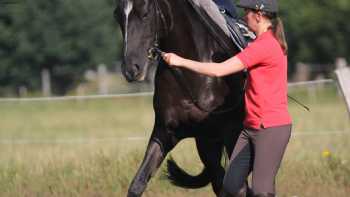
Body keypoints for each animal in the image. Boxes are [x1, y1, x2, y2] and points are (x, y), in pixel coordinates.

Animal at [115, 0, 246, 195]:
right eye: (118, 16)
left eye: (145, 13)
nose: (131, 69)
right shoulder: (165, 132)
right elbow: (138, 183)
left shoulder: (232, 134)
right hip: (207, 144)